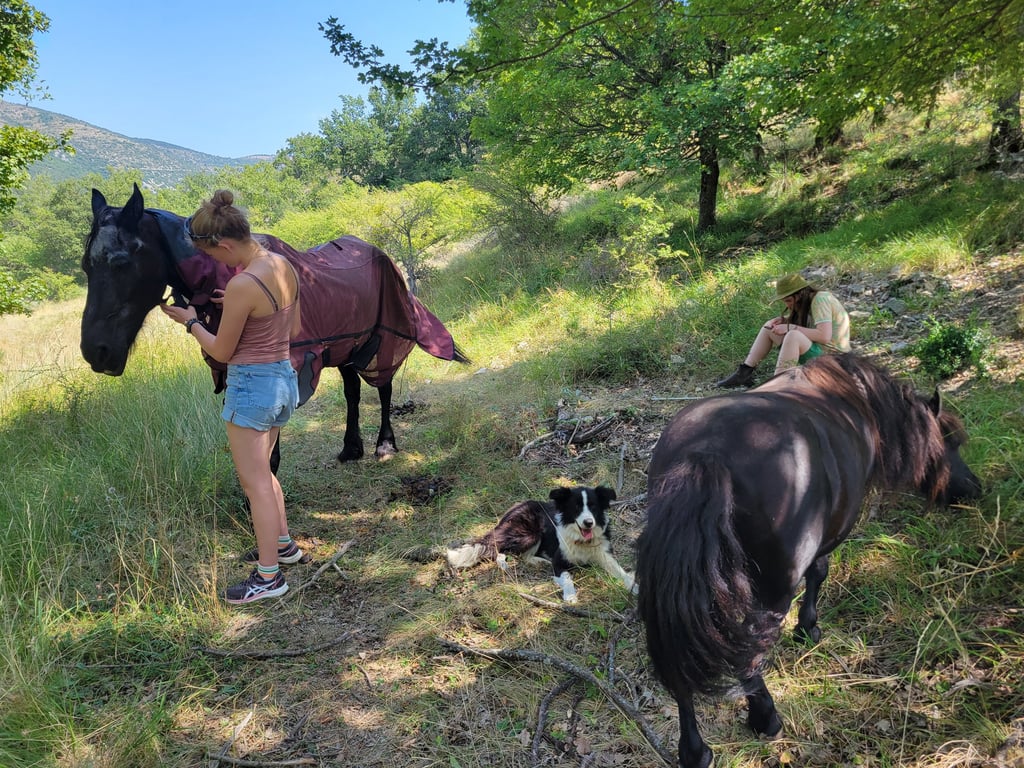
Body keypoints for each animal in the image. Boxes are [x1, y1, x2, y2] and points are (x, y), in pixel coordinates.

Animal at [80, 184, 468, 470]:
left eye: (121, 261)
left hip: (382, 338)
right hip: (346, 346)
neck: (223, 274)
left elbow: (269, 453)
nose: (95, 352)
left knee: (383, 386)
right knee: (353, 391)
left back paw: (385, 445)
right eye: (86, 265)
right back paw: (350, 448)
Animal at [635, 353, 982, 768]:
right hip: (772, 590)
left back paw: (694, 750)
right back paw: (765, 717)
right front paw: (808, 628)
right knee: (750, 656)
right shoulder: (828, 537)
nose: (975, 489)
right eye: (951, 441)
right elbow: (820, 572)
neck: (856, 400)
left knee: (681, 665)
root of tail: (703, 454)